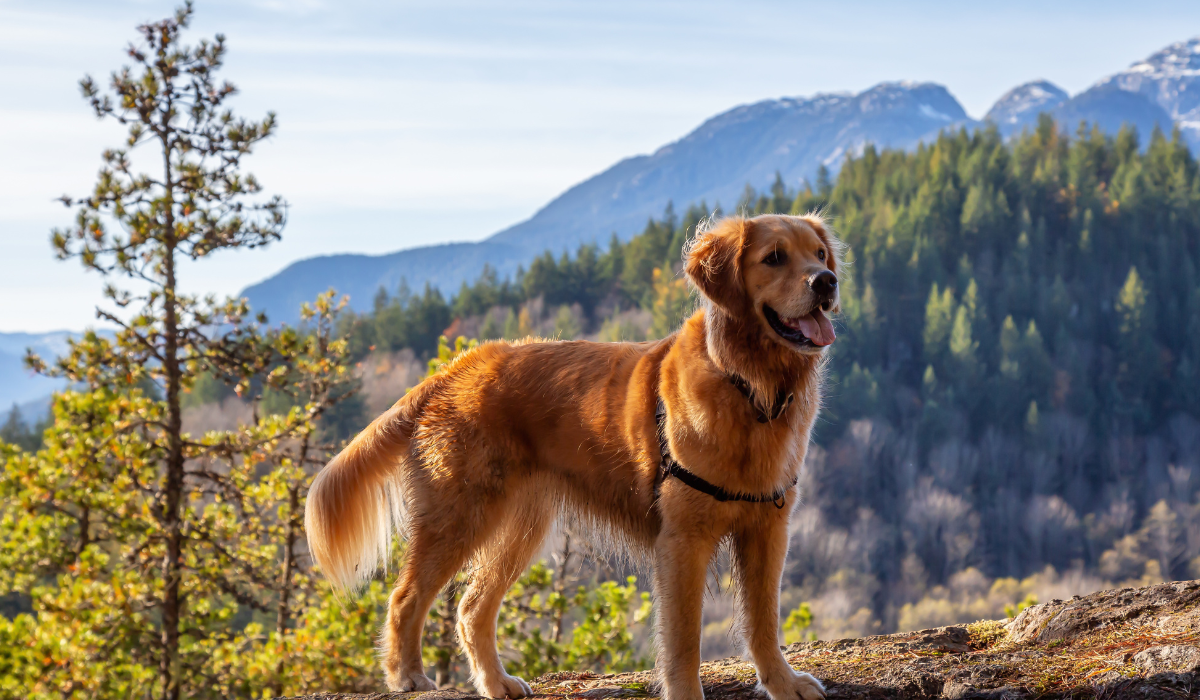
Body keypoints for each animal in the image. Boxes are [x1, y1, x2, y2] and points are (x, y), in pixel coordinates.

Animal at [304, 213, 840, 700]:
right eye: (774, 257)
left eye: (818, 254)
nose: (827, 281)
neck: (749, 385)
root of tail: (454, 370)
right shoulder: (683, 539)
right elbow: (684, 641)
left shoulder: (767, 529)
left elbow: (763, 622)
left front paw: (783, 684)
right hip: (459, 516)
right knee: (405, 598)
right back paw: (407, 676)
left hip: (519, 526)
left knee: (472, 608)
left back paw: (496, 683)